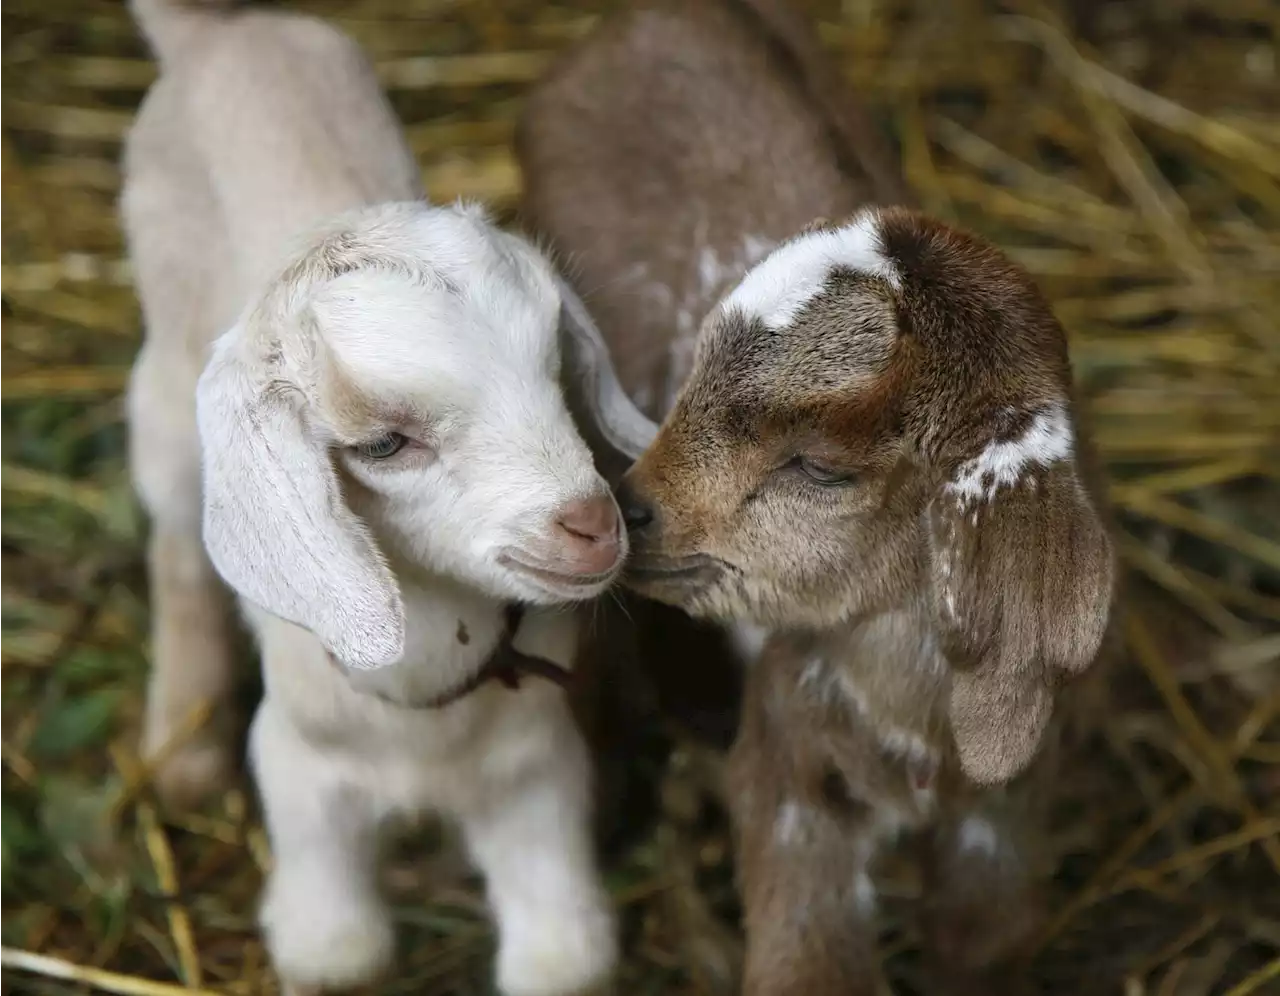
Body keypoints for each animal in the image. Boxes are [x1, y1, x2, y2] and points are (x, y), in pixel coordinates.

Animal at [122, 1, 650, 993]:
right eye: (382, 445)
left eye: (554, 368)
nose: (593, 528)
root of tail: (215, 32)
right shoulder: (299, 769)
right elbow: (337, 950)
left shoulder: (537, 770)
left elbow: (562, 958)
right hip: (166, 392)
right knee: (175, 546)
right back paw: (183, 751)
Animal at [514, 1, 1116, 993]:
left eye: (822, 467)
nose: (634, 509)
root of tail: (646, 18)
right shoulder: (790, 762)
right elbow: (810, 959)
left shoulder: (1012, 802)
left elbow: (986, 939)